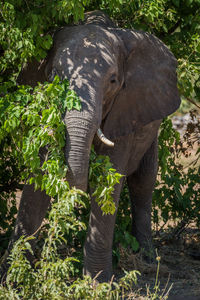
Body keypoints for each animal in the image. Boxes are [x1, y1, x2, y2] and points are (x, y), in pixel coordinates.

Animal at [5, 10, 180, 282]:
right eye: (53, 77)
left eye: (113, 81)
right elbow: (39, 177)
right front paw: (13, 276)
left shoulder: (125, 109)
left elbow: (109, 180)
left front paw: (98, 283)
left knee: (143, 181)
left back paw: (148, 261)